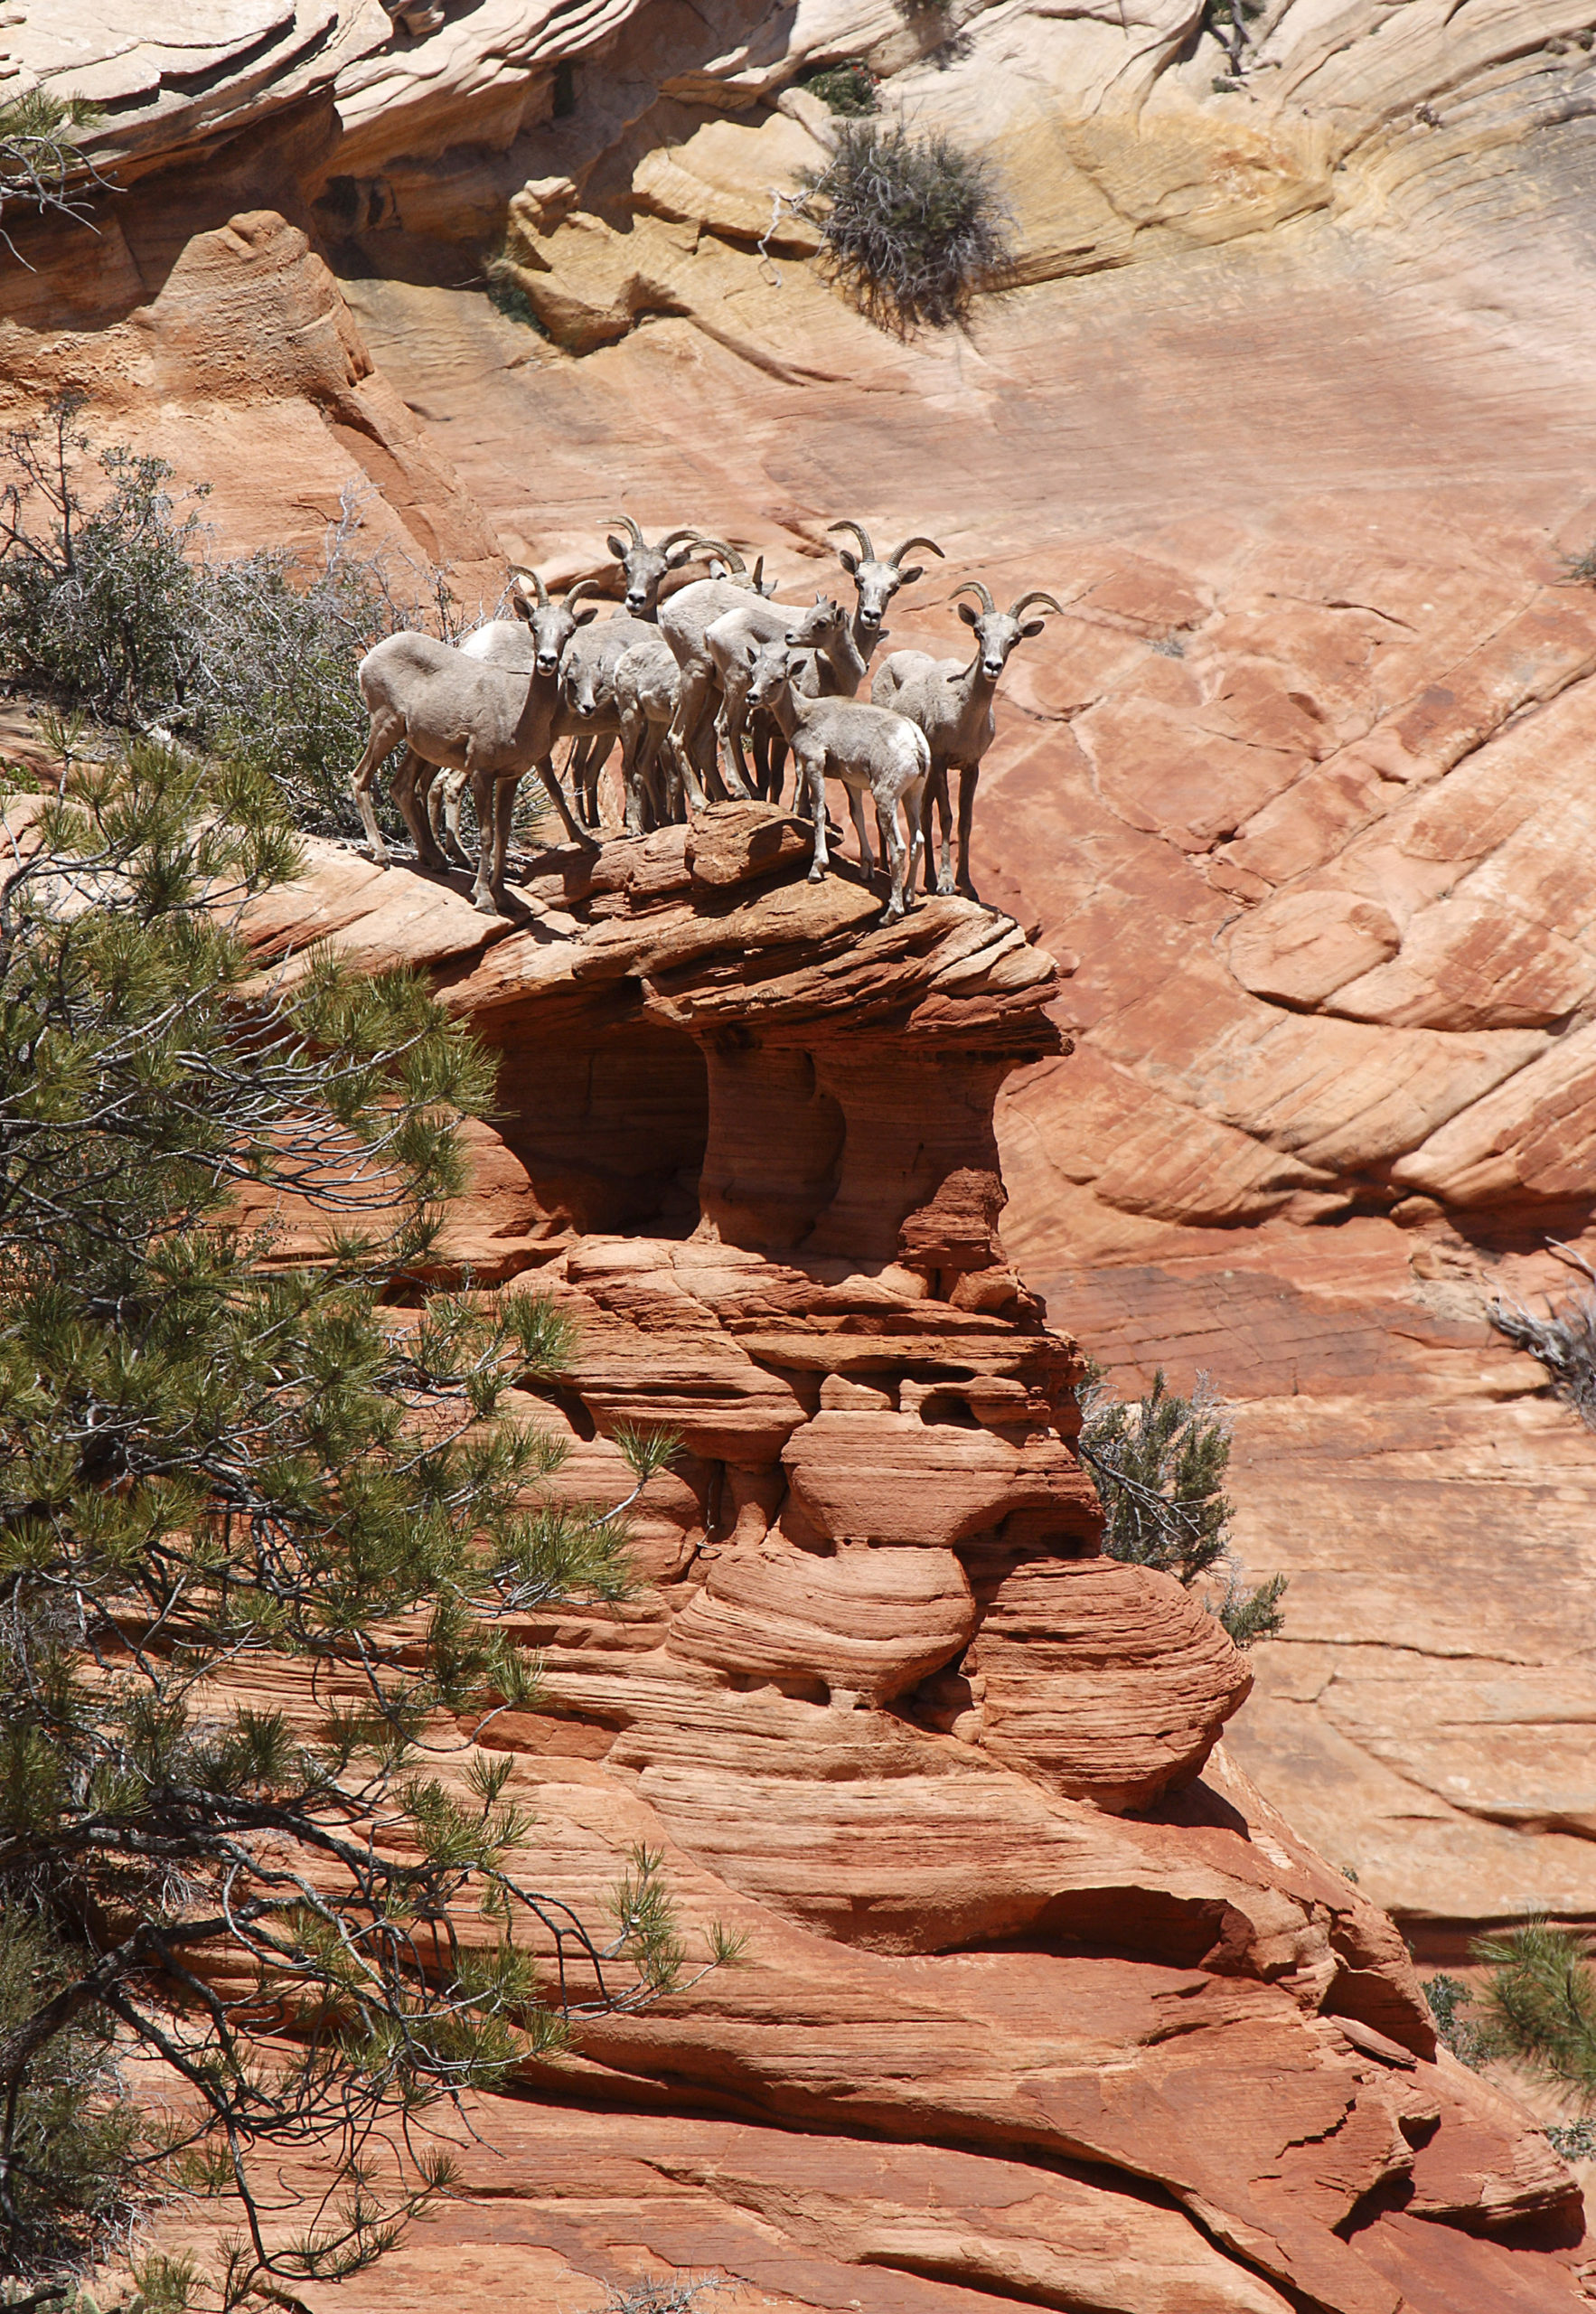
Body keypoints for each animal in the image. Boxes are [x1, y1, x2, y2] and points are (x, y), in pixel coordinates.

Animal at [742, 634, 929, 923]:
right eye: (753, 672)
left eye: (778, 678)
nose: (752, 697)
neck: (802, 716)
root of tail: (914, 740)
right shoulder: (851, 781)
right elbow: (856, 816)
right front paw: (866, 870)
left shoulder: (814, 763)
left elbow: (817, 812)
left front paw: (816, 869)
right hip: (913, 794)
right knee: (917, 841)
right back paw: (909, 900)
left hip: (886, 796)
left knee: (898, 847)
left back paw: (891, 913)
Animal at [872, 581, 1063, 899]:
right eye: (979, 631)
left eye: (1014, 639)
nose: (992, 666)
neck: (963, 718)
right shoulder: (940, 762)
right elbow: (947, 817)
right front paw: (947, 884)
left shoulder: (971, 766)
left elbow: (965, 822)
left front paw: (967, 886)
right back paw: (888, 870)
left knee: (923, 816)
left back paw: (927, 880)